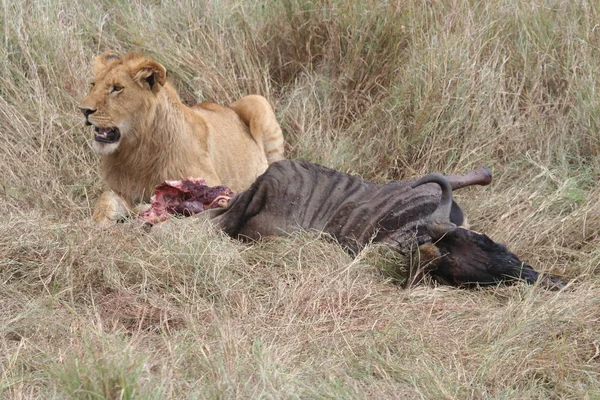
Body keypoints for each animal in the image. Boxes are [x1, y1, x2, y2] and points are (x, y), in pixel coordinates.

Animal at [78, 51, 284, 223]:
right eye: (93, 85)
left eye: (117, 88)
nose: (83, 110)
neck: (137, 151)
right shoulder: (121, 190)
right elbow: (104, 201)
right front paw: (98, 224)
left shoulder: (210, 188)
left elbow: (162, 205)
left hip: (258, 101)